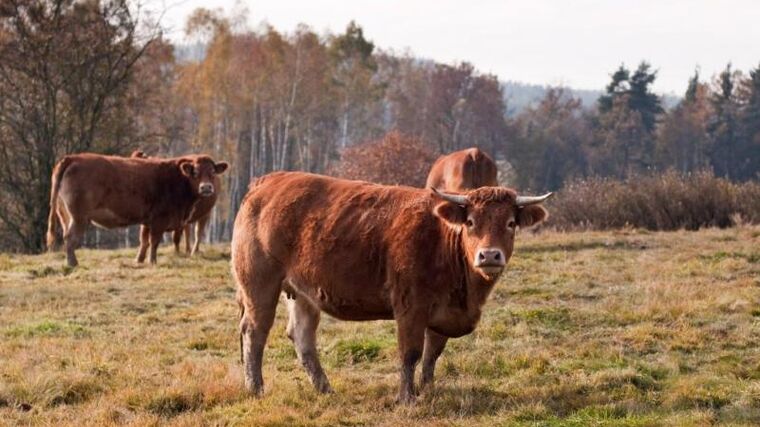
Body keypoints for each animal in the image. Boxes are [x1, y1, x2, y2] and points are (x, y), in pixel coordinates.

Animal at [47, 154, 229, 268]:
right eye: (195, 172)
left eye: (213, 171)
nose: (206, 188)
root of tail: (73, 158)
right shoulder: (159, 220)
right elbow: (154, 242)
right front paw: (152, 261)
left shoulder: (147, 220)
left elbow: (145, 241)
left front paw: (139, 260)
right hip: (79, 216)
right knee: (70, 238)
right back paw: (72, 263)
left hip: (66, 215)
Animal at [232, 171, 552, 404]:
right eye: (471, 222)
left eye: (510, 223)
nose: (489, 256)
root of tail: (269, 181)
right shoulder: (411, 307)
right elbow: (410, 352)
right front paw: (407, 398)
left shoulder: (441, 314)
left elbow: (432, 354)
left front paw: (428, 389)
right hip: (260, 285)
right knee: (255, 332)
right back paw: (255, 388)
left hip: (302, 293)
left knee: (302, 337)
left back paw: (325, 389)